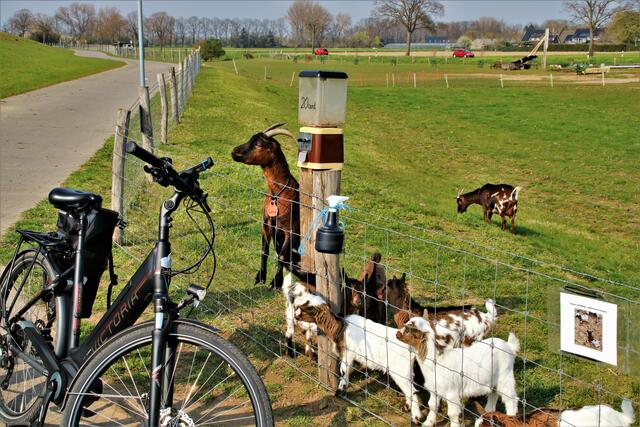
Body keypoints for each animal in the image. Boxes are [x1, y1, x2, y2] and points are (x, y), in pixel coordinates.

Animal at [232, 123, 302, 290]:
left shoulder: (290, 229)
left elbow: (282, 256)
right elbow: (264, 250)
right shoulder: (267, 223)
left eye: (258, 144)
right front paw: (261, 276)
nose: (234, 151)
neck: (278, 195)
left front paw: (276, 282)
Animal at [296, 290, 424, 424]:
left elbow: (343, 372)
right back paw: (406, 408)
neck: (340, 327)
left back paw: (415, 419)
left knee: (412, 392)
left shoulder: (347, 354)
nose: (296, 317)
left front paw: (340, 392)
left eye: (307, 310)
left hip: (400, 372)